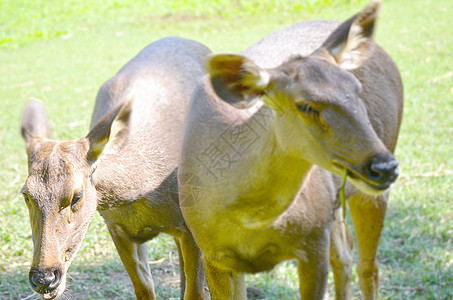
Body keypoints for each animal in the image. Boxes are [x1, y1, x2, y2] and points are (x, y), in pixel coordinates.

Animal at [20, 36, 211, 298]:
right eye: (26, 195)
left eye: (77, 195)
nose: (44, 278)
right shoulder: (117, 229)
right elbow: (144, 289)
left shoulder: (190, 222)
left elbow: (195, 292)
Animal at [178, 1, 400, 298]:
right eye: (305, 105)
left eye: (358, 89)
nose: (385, 167)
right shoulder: (212, 253)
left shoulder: (313, 242)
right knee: (345, 252)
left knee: (368, 267)